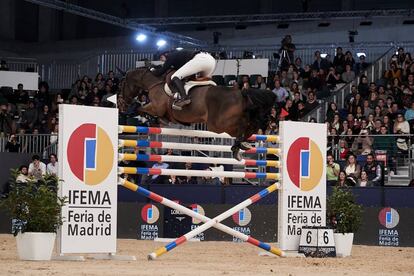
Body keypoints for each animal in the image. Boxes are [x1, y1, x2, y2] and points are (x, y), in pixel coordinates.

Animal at [123, 67, 278, 161]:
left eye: (121, 85)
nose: (122, 104)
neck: (155, 83)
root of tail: (241, 92)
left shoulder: (156, 107)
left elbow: (141, 109)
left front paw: (145, 117)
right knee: (251, 125)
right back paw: (242, 145)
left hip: (217, 124)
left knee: (243, 126)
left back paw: (238, 146)